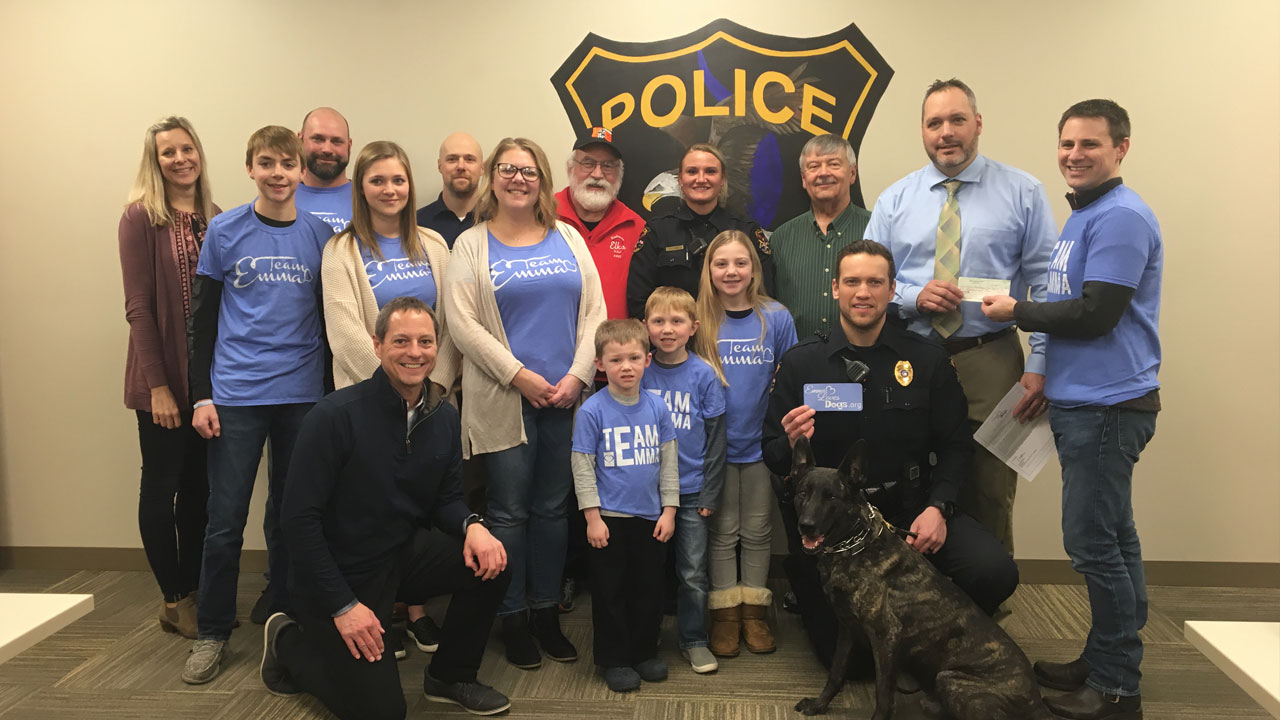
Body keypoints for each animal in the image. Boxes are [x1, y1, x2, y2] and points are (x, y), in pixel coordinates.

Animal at [788, 435, 1049, 712]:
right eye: (803, 493)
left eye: (832, 498)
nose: (806, 526)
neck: (853, 547)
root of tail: (1037, 701)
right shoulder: (847, 629)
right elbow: (837, 672)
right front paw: (819, 705)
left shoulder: (886, 637)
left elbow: (884, 696)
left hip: (950, 679)